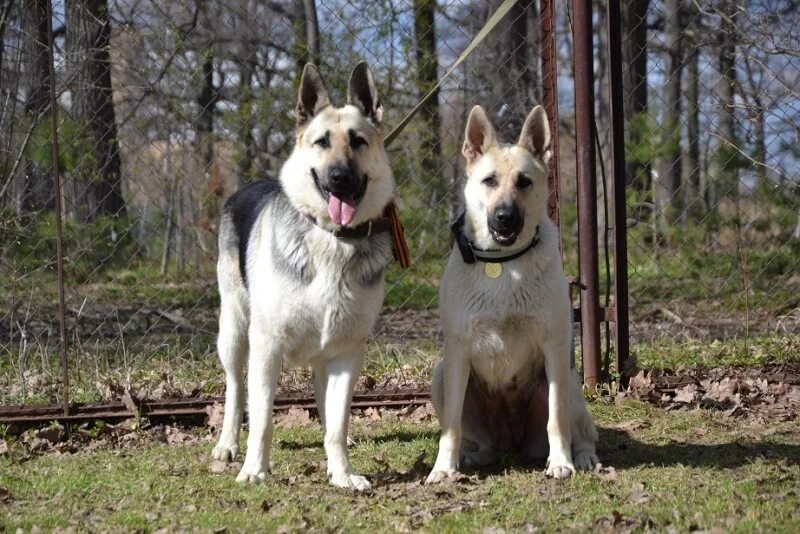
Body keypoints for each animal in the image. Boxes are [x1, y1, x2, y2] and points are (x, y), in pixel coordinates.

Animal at [211, 60, 396, 492]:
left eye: (358, 142)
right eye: (322, 142)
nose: (340, 178)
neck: (332, 240)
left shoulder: (347, 352)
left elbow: (338, 424)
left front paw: (342, 473)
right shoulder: (266, 346)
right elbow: (262, 418)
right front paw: (255, 470)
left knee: (326, 406)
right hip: (234, 333)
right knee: (235, 389)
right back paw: (227, 445)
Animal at [428, 104, 596, 486]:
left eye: (524, 182)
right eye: (489, 180)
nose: (505, 218)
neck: (502, 263)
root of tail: (511, 445)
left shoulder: (553, 348)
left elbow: (557, 420)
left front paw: (561, 461)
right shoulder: (457, 352)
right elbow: (451, 427)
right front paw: (443, 467)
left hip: (567, 380)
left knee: (581, 430)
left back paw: (582, 456)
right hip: (441, 375)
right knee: (476, 439)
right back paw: (473, 457)